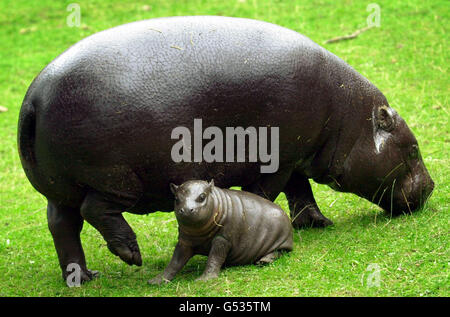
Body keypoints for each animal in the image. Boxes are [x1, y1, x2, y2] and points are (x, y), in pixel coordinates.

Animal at [149, 179, 294, 282]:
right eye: (176, 198)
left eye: (202, 196)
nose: (185, 209)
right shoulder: (185, 241)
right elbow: (174, 262)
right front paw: (155, 281)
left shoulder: (222, 239)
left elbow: (214, 258)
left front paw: (204, 280)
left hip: (282, 241)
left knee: (278, 252)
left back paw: (264, 261)